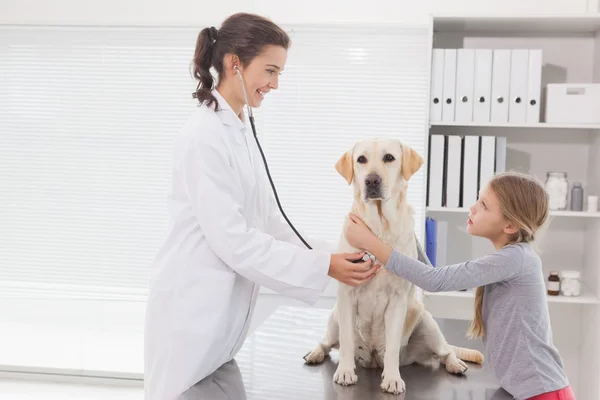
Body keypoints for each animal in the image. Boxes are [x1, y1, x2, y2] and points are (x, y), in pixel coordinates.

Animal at [304, 138, 482, 394]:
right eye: (361, 159)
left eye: (389, 158)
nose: (372, 180)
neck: (380, 228)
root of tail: (371, 359)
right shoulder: (347, 294)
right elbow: (346, 341)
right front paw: (345, 372)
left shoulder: (397, 300)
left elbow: (392, 347)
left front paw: (392, 378)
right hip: (335, 316)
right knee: (327, 342)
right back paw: (316, 353)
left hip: (427, 322)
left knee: (444, 351)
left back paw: (455, 363)